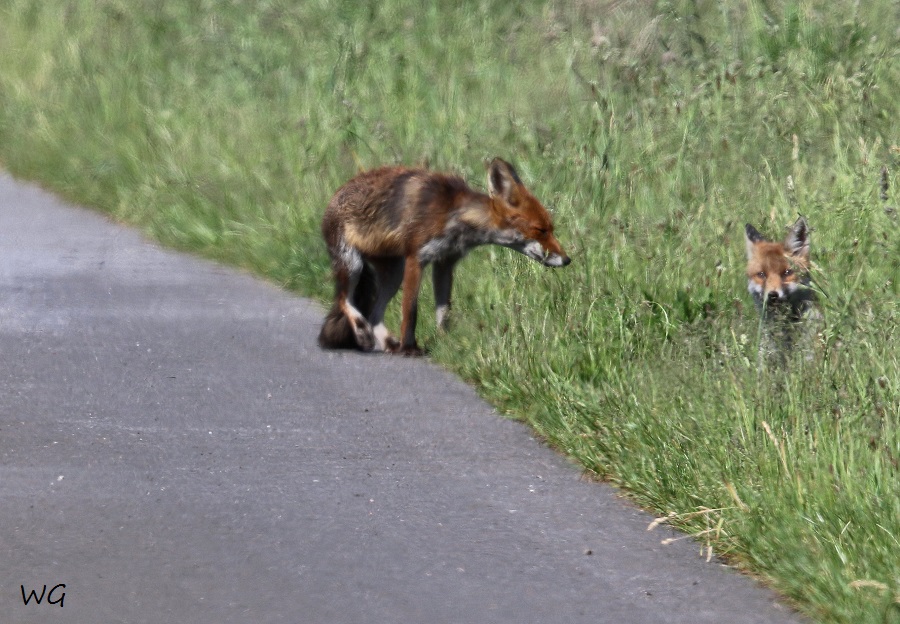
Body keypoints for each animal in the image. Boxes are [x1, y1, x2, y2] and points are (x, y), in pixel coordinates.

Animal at [318, 158, 571, 355]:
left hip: (393, 274)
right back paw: (364, 334)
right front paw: (410, 348)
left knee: (373, 313)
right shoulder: (416, 258)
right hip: (353, 265)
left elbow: (444, 311)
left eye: (551, 229)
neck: (454, 216)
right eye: (541, 230)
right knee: (344, 301)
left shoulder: (445, 262)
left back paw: (387, 342)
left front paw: (445, 342)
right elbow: (411, 310)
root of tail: (335, 195)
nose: (567, 260)